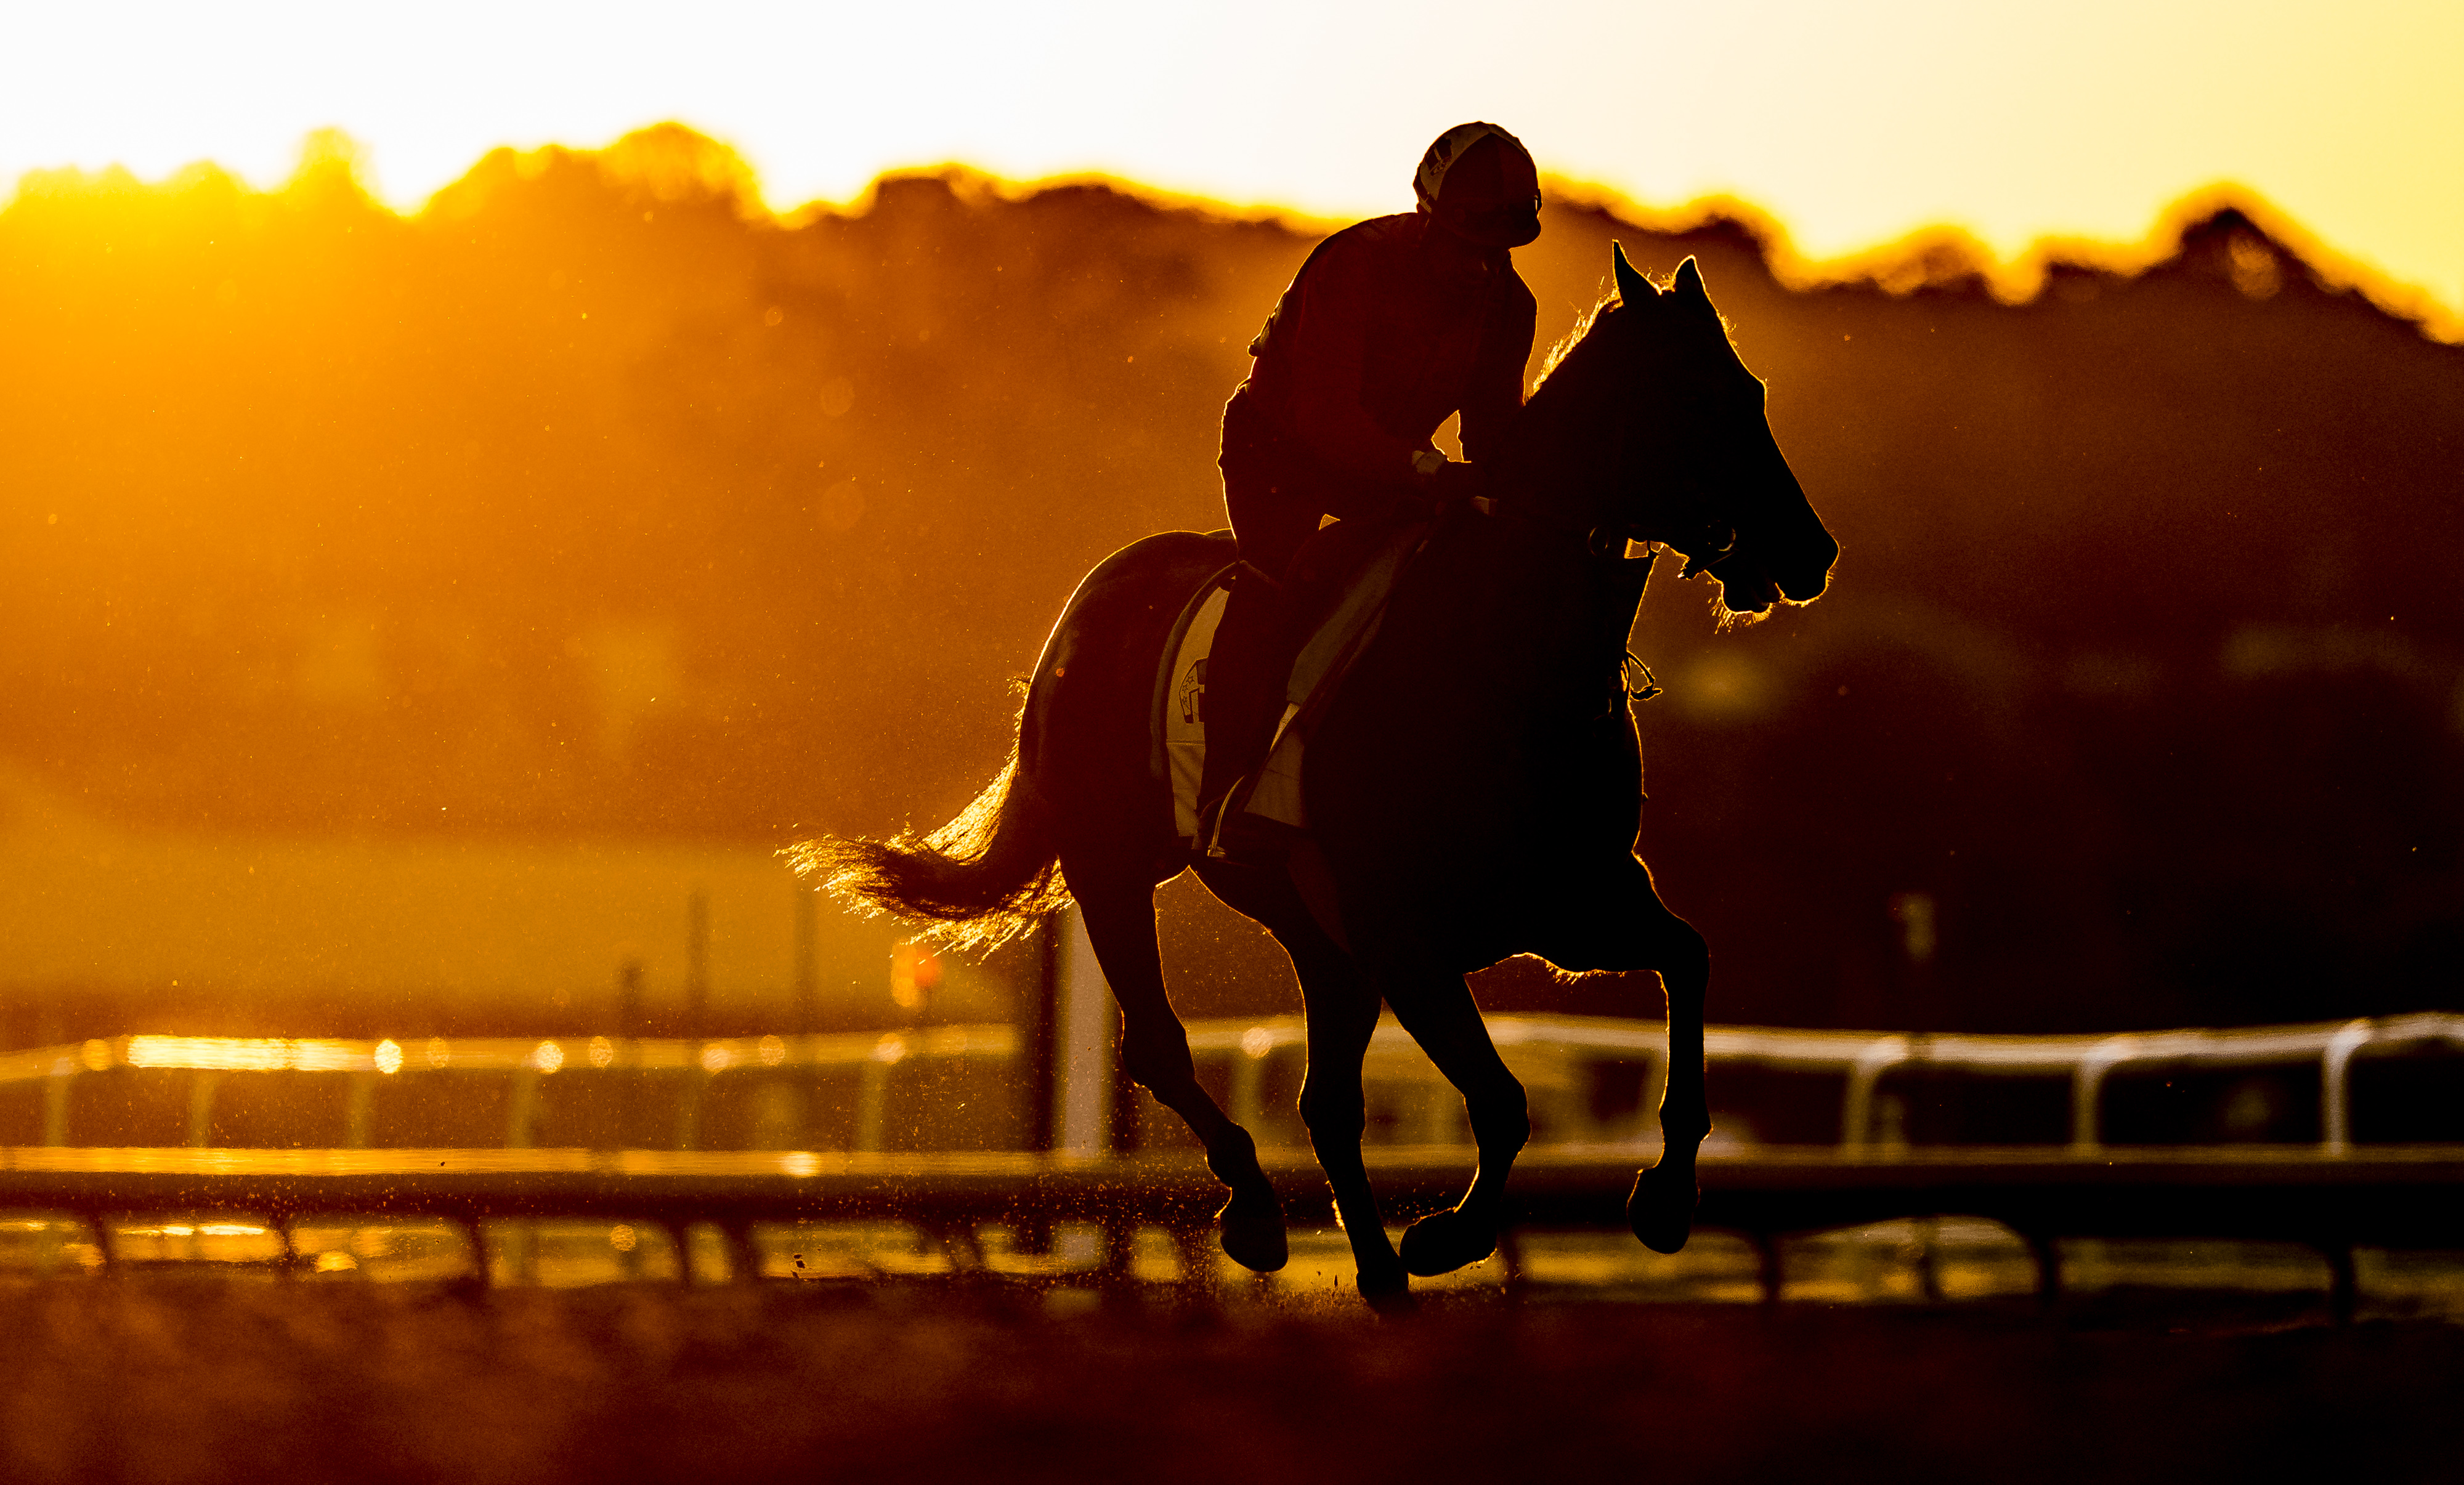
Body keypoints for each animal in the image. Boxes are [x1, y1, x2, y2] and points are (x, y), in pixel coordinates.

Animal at [791, 244, 1839, 1308]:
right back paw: (1258, 1210)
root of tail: (1084, 608)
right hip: (1113, 866)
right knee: (1162, 1047)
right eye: (1697, 399)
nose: (1810, 551)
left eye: (1751, 390)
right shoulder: (1403, 932)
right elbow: (1503, 1099)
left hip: (1310, 929)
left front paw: (1664, 1198)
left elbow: (1687, 958)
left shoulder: (1568, 903)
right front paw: (1450, 1233)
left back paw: (1373, 1266)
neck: (1503, 663)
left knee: (1325, 1099)